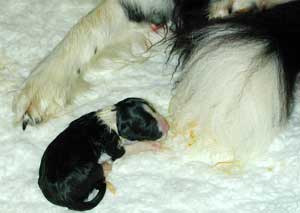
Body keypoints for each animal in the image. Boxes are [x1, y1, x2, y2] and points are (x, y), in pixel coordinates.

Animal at [37, 98, 169, 211]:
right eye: (147, 124)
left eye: (154, 109)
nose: (167, 126)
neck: (113, 118)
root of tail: (65, 200)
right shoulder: (114, 147)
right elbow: (132, 147)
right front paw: (151, 145)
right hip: (90, 168)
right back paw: (106, 166)